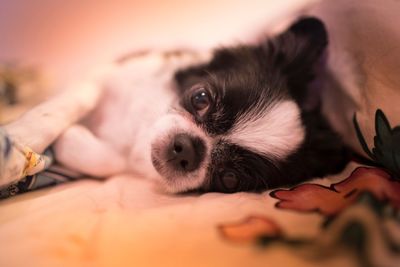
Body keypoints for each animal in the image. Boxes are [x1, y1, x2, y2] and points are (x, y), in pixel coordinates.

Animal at [0, 16, 350, 194]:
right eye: (200, 97)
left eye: (230, 179)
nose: (188, 149)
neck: (141, 128)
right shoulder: (108, 74)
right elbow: (71, 102)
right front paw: (20, 143)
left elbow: (108, 161)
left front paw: (68, 140)